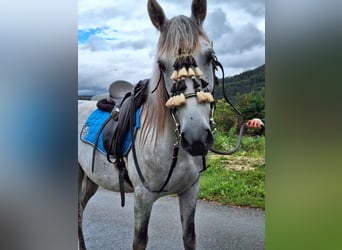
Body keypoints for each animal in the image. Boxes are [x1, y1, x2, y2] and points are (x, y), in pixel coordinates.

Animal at [78, 0, 218, 249]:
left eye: (210, 57)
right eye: (161, 65)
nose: (196, 139)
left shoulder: (190, 192)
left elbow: (189, 237)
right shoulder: (143, 198)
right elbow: (139, 240)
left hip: (90, 179)